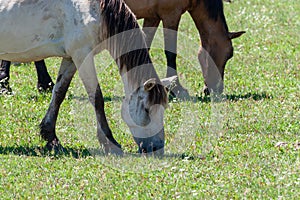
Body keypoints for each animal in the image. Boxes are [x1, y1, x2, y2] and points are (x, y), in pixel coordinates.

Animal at [0, 0, 173, 155]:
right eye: (147, 109)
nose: (156, 148)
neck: (95, 10)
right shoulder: (82, 55)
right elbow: (97, 98)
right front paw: (110, 143)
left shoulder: (70, 58)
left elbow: (59, 93)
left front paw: (50, 136)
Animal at [0, 0, 244, 97]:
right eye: (226, 55)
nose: (214, 89)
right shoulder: (170, 15)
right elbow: (170, 52)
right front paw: (177, 88)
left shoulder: (153, 16)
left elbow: (144, 44)